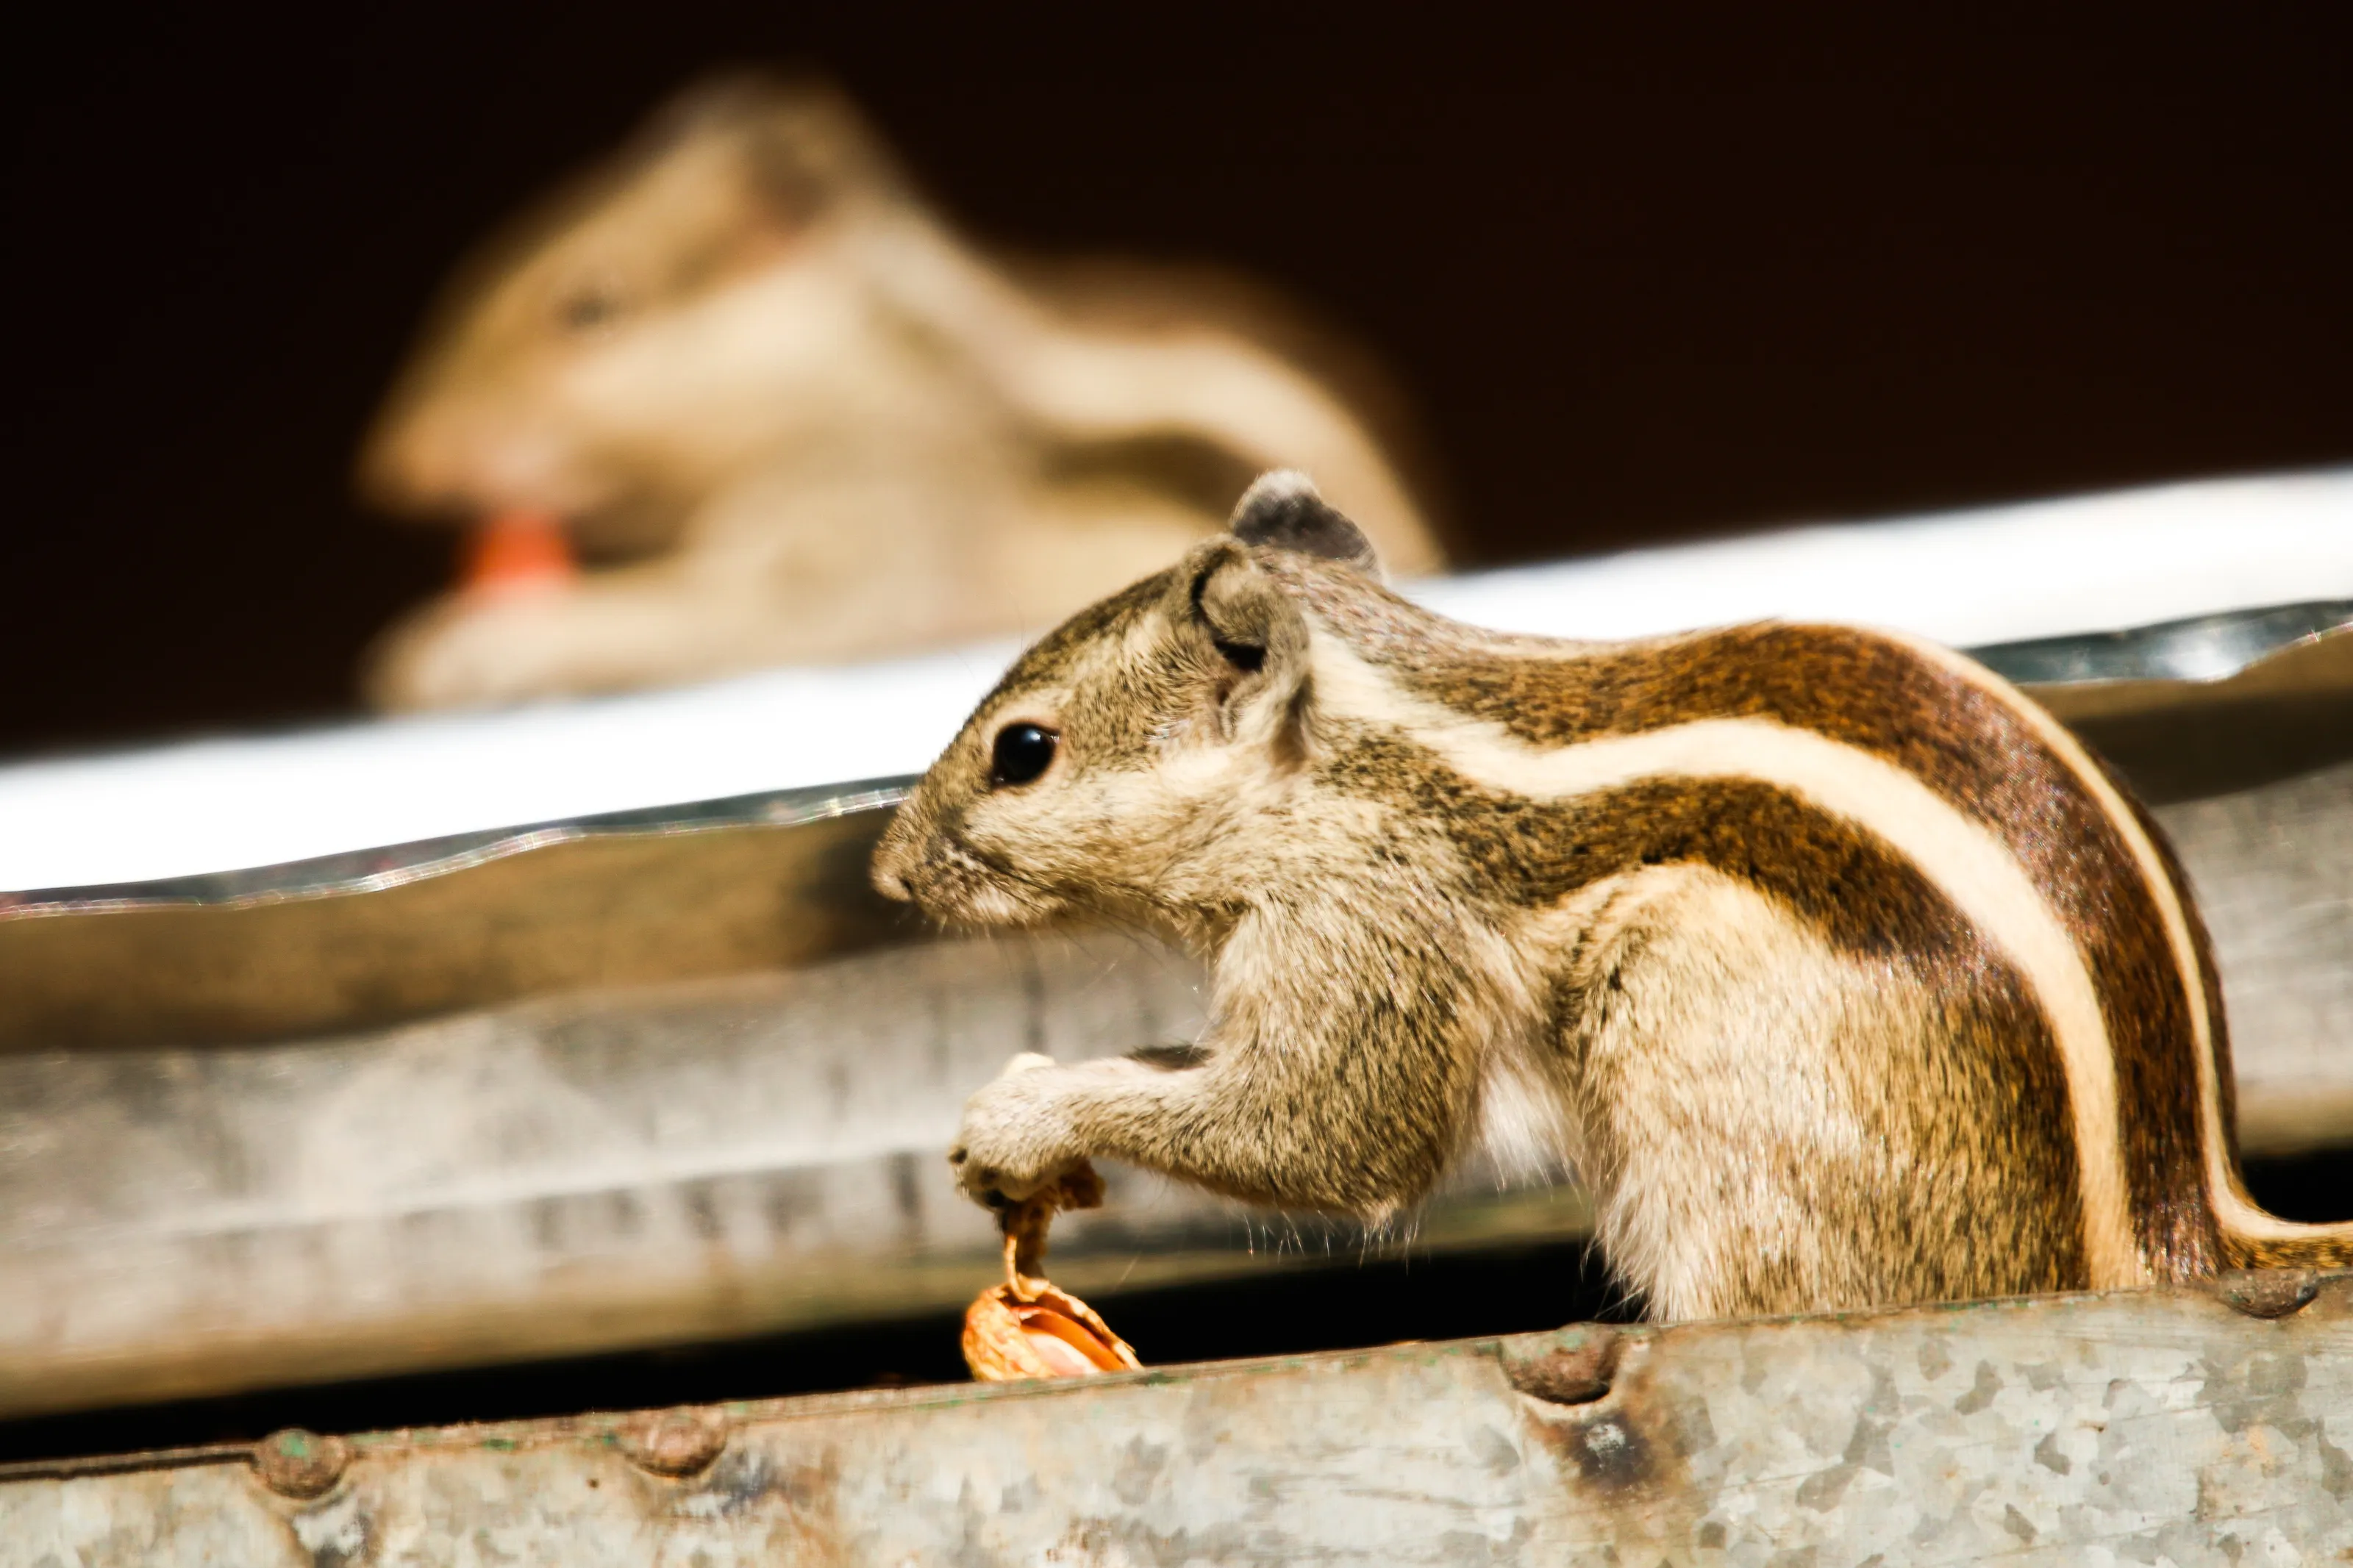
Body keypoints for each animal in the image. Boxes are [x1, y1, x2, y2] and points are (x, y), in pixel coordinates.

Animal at [358, 75, 1444, 711]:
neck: (866, 376)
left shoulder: (875, 526)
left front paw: (479, 648)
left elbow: (754, 614)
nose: (394, 471)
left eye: (588, 310)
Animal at [872, 471, 2353, 1321]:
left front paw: (1032, 1105)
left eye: (1023, 750)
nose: (886, 869)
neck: (1356, 749)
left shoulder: (1369, 928)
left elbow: (1330, 1129)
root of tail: (2174, 1239)